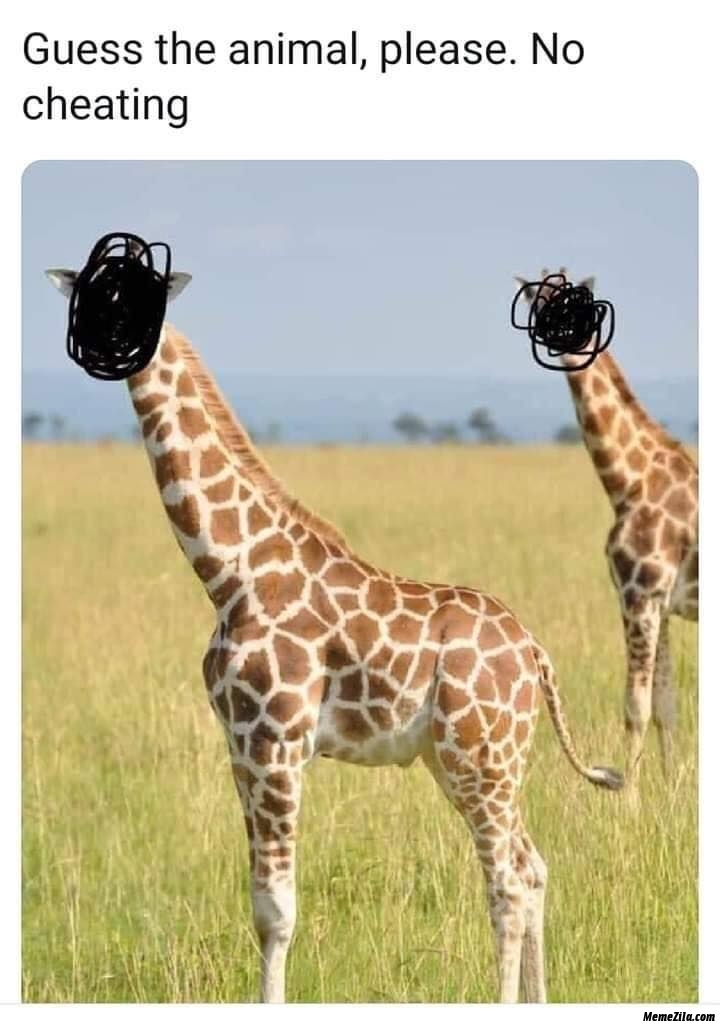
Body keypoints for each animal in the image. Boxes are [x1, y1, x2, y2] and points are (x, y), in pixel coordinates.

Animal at [47, 265, 622, 1004]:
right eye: (90, 295)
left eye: (134, 300)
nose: (101, 348)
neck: (229, 569)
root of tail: (535, 654)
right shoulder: (239, 746)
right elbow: (259, 900)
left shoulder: (277, 742)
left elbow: (276, 909)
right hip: (468, 761)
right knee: (535, 865)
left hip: (482, 757)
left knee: (508, 884)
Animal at [514, 269, 698, 798]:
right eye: (538, 305)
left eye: (576, 307)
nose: (563, 345)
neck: (627, 480)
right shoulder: (659, 602)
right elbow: (665, 707)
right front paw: (670, 791)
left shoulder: (640, 595)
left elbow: (635, 706)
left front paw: (629, 801)